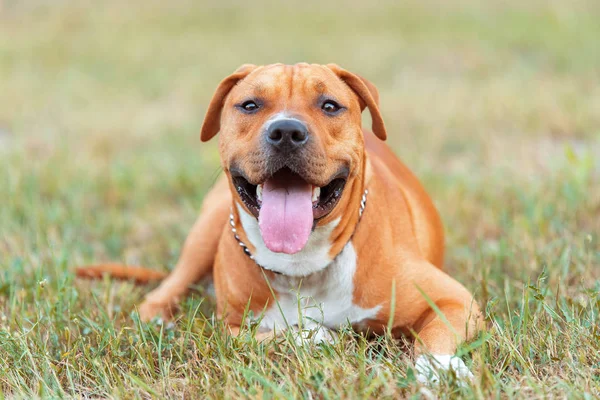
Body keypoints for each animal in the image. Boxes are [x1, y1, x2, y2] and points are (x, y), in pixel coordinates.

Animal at [78, 63, 482, 384]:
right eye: (250, 105)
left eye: (330, 105)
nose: (286, 131)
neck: (305, 262)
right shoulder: (229, 328)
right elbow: (281, 334)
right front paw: (317, 336)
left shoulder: (455, 300)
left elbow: (434, 337)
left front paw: (441, 369)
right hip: (206, 229)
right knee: (165, 290)